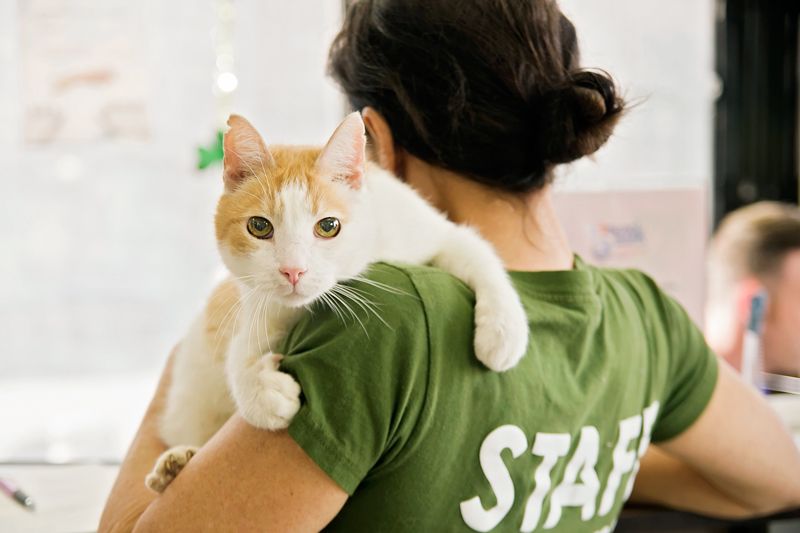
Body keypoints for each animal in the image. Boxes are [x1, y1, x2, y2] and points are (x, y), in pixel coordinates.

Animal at [146, 111, 528, 490]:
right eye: (259, 226)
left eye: (328, 226)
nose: (293, 271)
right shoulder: (259, 305)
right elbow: (240, 351)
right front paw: (261, 394)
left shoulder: (435, 233)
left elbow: (476, 253)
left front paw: (502, 333)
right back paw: (175, 463)